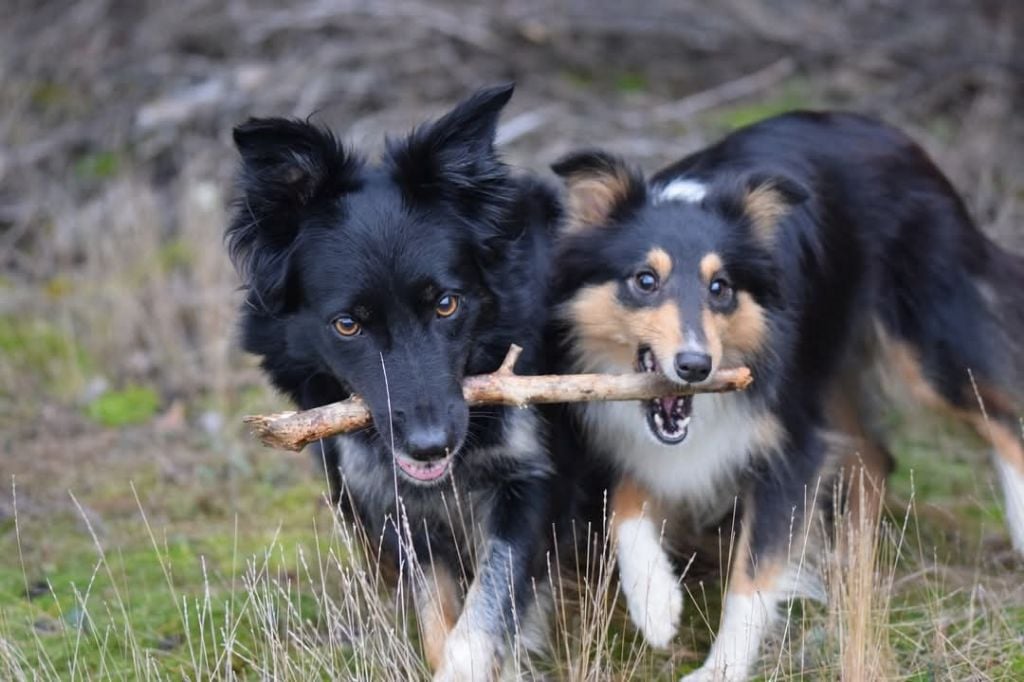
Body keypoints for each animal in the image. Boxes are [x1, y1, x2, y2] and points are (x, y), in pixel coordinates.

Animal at [226, 86, 569, 679]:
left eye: (447, 303)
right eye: (348, 324)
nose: (430, 447)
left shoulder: (529, 477)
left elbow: (485, 613)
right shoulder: (391, 503)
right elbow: (437, 616)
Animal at [548, 111, 1024, 675]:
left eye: (721, 288)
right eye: (645, 280)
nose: (695, 367)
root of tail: (895, 134)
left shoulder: (790, 443)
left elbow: (753, 575)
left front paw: (720, 669)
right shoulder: (637, 433)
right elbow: (625, 508)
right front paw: (656, 605)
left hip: (922, 347)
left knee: (1000, 416)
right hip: (828, 366)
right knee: (875, 455)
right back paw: (848, 568)